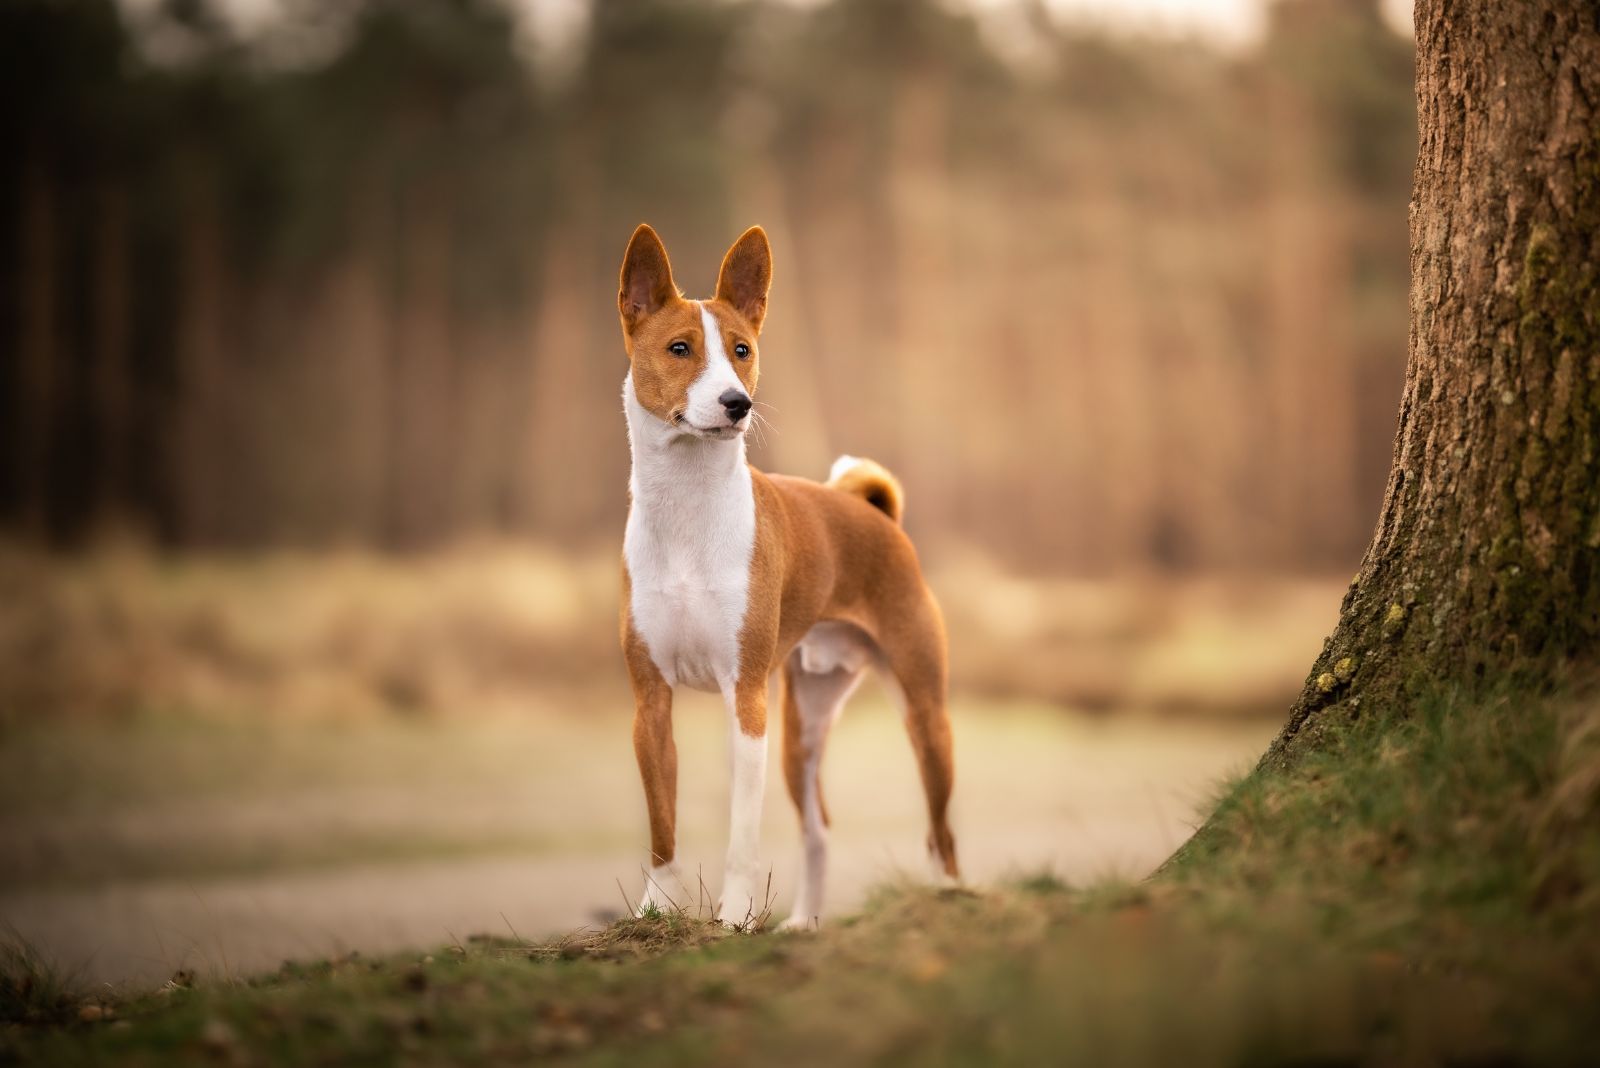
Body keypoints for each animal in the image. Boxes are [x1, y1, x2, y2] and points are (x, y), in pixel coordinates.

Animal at [617, 223, 953, 927]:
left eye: (742, 350)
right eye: (680, 348)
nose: (736, 403)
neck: (687, 515)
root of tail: (873, 512)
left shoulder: (745, 700)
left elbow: (742, 835)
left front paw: (736, 915)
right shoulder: (650, 703)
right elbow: (662, 826)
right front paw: (656, 908)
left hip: (924, 714)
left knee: (942, 834)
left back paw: (948, 897)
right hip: (804, 727)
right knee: (819, 830)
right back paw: (803, 924)